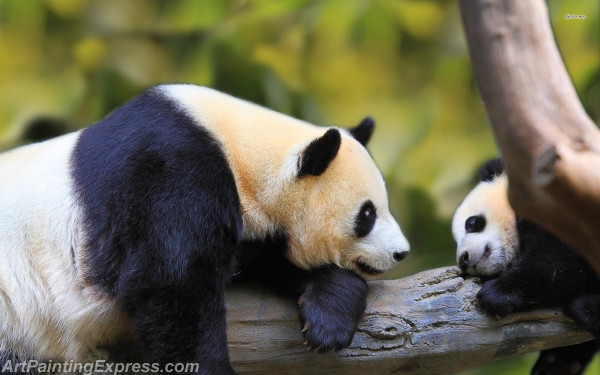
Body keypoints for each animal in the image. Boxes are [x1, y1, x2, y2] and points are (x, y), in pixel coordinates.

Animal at [0, 83, 410, 374]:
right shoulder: (168, 172)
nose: (401, 252)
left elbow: (270, 262)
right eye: (367, 214)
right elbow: (171, 282)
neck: (242, 149)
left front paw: (328, 318)